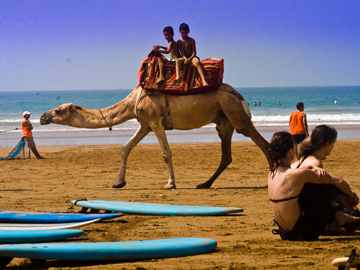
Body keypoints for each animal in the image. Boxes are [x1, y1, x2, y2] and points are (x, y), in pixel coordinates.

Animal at [40, 83, 272, 189]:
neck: (132, 101)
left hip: (235, 112)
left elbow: (166, 153)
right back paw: (204, 184)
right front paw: (118, 182)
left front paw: (170, 183)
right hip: (224, 120)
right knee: (227, 155)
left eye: (59, 110)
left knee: (263, 143)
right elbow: (125, 148)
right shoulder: (145, 124)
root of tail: (237, 94)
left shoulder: (155, 121)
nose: (43, 116)